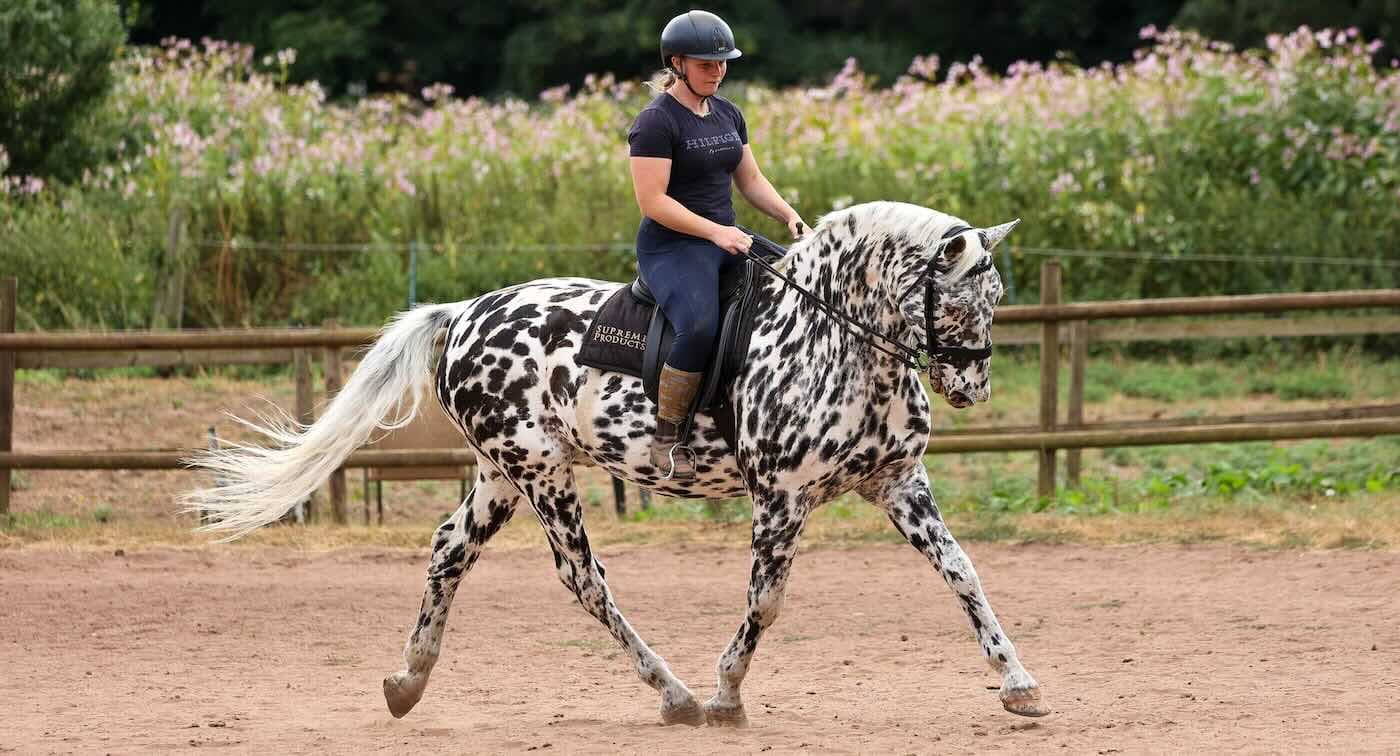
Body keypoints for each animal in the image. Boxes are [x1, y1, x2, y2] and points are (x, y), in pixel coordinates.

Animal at [184, 200, 1049, 727]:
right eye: (960, 298)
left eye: (999, 296)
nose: (973, 387)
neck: (835, 341)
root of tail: (461, 314)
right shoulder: (782, 500)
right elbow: (766, 604)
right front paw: (727, 695)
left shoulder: (899, 485)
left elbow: (962, 572)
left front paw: (1019, 685)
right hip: (542, 474)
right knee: (583, 580)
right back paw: (676, 694)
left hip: (502, 475)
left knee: (447, 553)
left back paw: (408, 682)